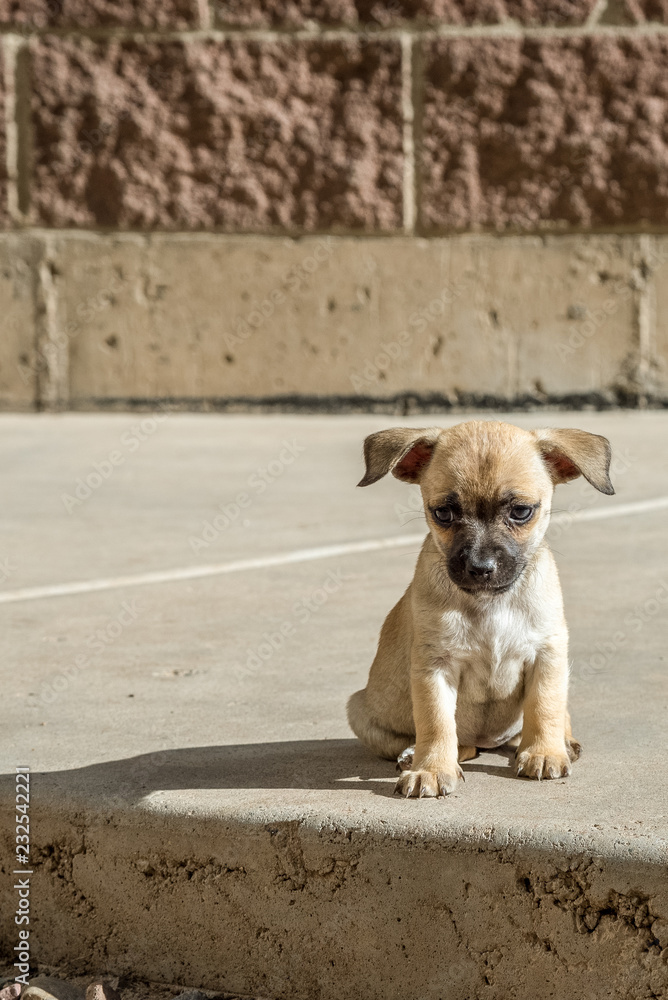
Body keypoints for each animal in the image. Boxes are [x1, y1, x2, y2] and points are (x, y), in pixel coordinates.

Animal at [350, 420, 616, 796]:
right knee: (461, 743)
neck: (491, 603)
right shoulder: (435, 666)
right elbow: (436, 722)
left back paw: (562, 742)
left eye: (520, 512)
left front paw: (545, 752)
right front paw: (431, 769)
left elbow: (545, 706)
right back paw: (417, 754)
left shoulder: (548, 653)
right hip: (359, 710)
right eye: (443, 513)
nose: (480, 566)